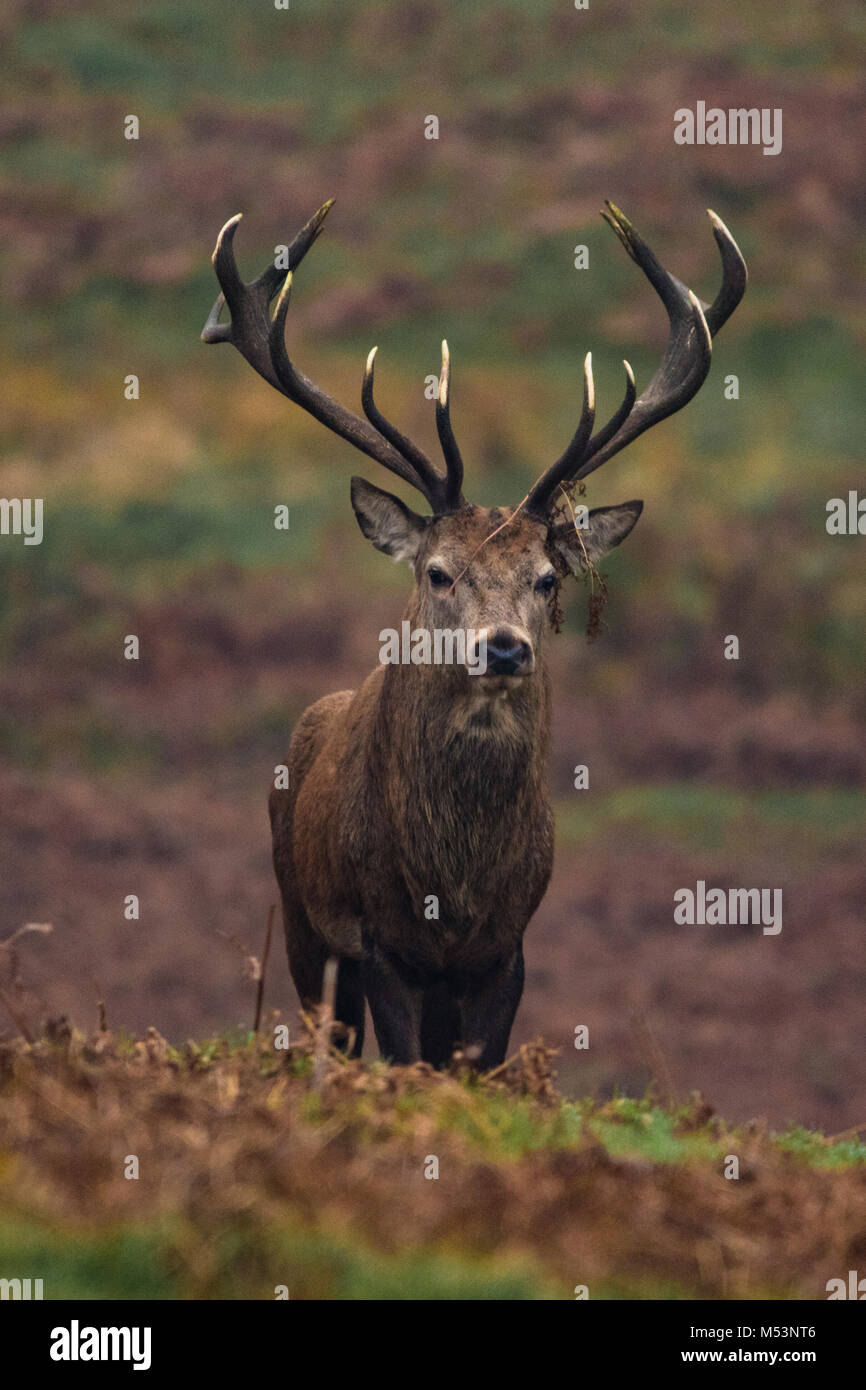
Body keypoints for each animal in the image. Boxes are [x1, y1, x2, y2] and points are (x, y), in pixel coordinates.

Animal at [202, 198, 746, 1068]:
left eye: (548, 578)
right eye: (438, 572)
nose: (504, 646)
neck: (450, 891)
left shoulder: (507, 947)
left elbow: (478, 1069)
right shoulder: (377, 937)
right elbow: (407, 1065)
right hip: (301, 922)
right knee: (336, 1037)